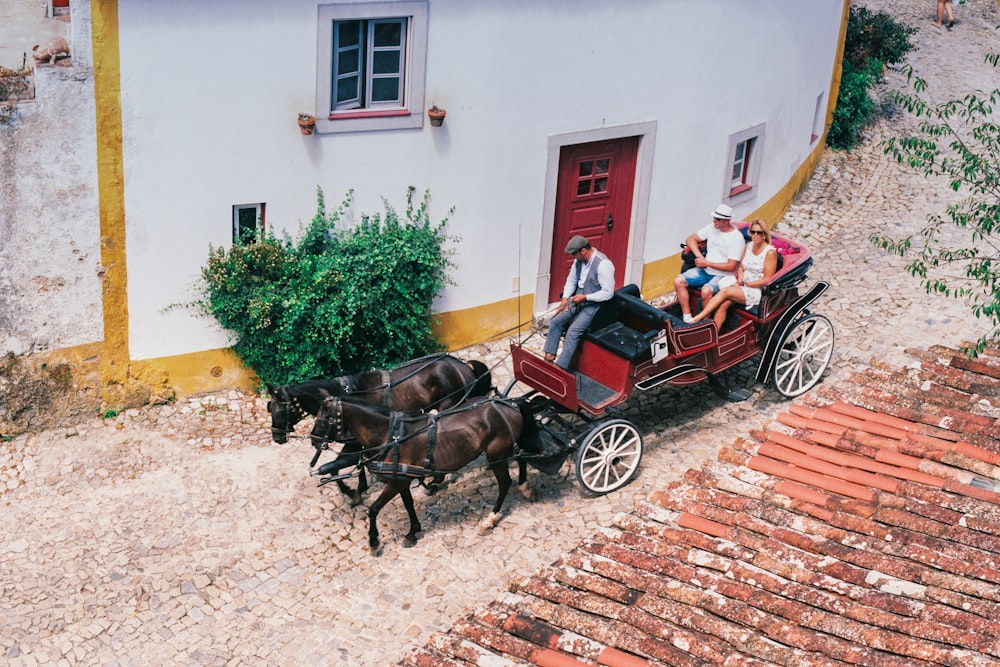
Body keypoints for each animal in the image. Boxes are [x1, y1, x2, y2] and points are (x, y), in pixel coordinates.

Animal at [310, 394, 540, 556]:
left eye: (323, 419)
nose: (313, 440)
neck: (389, 436)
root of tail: (510, 403)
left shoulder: (395, 483)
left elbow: (373, 510)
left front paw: (374, 542)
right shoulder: (401, 480)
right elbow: (409, 504)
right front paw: (413, 532)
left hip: (496, 455)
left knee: (505, 482)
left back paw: (490, 520)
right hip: (506, 449)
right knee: (522, 457)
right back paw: (525, 487)